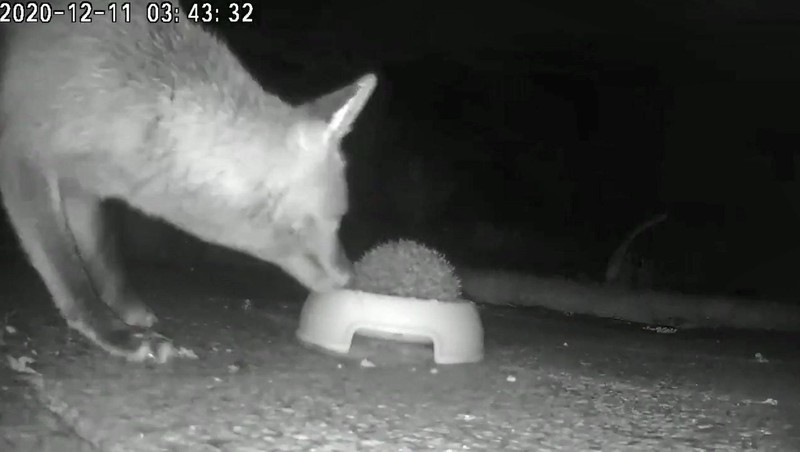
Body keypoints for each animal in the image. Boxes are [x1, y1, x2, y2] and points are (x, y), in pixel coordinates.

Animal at [0, 0, 376, 362]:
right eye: (334, 219)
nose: (351, 278)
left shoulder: (83, 185)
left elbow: (102, 255)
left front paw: (123, 309)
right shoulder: (23, 160)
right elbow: (69, 272)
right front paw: (112, 332)